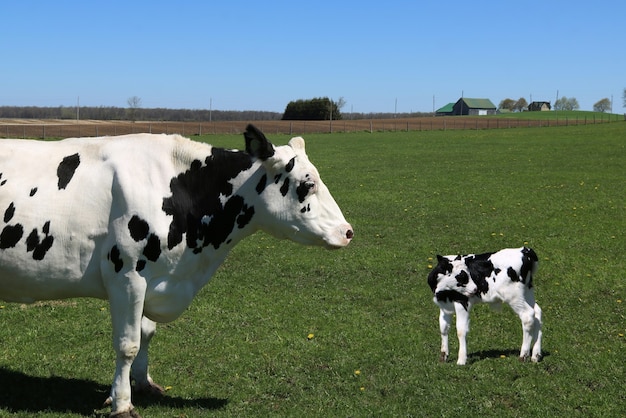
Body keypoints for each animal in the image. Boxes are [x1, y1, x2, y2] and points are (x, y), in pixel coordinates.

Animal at [0, 125, 352, 418]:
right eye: (307, 184)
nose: (347, 232)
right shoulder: (127, 276)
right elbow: (127, 344)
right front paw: (122, 403)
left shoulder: (152, 280)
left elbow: (146, 334)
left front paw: (142, 383)